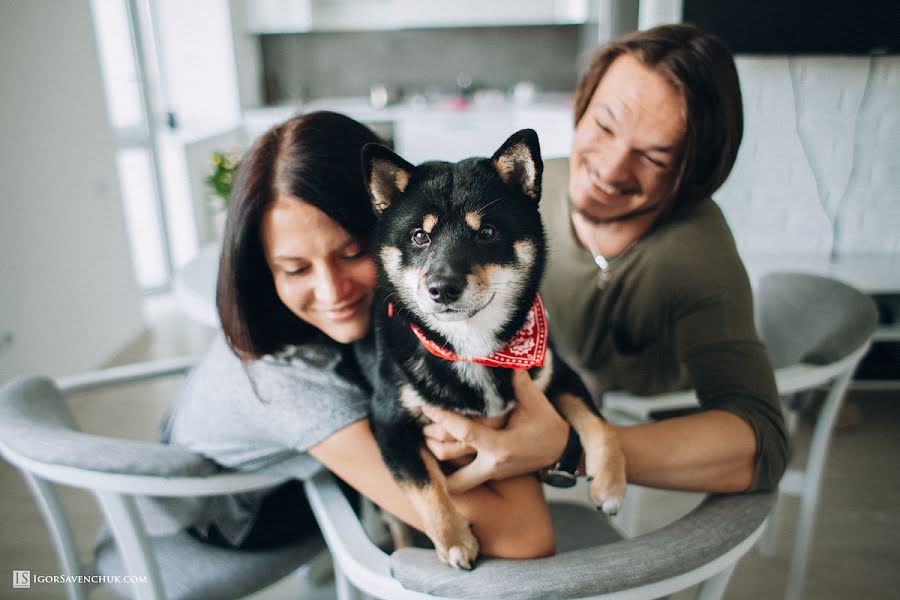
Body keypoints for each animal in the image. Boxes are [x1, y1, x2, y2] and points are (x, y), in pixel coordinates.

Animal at [360, 129, 624, 568]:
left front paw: (611, 484)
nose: (442, 287)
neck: (472, 347)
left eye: (485, 233)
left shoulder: (557, 372)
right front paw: (454, 540)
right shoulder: (388, 421)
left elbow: (598, 421)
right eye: (419, 236)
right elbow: (425, 487)